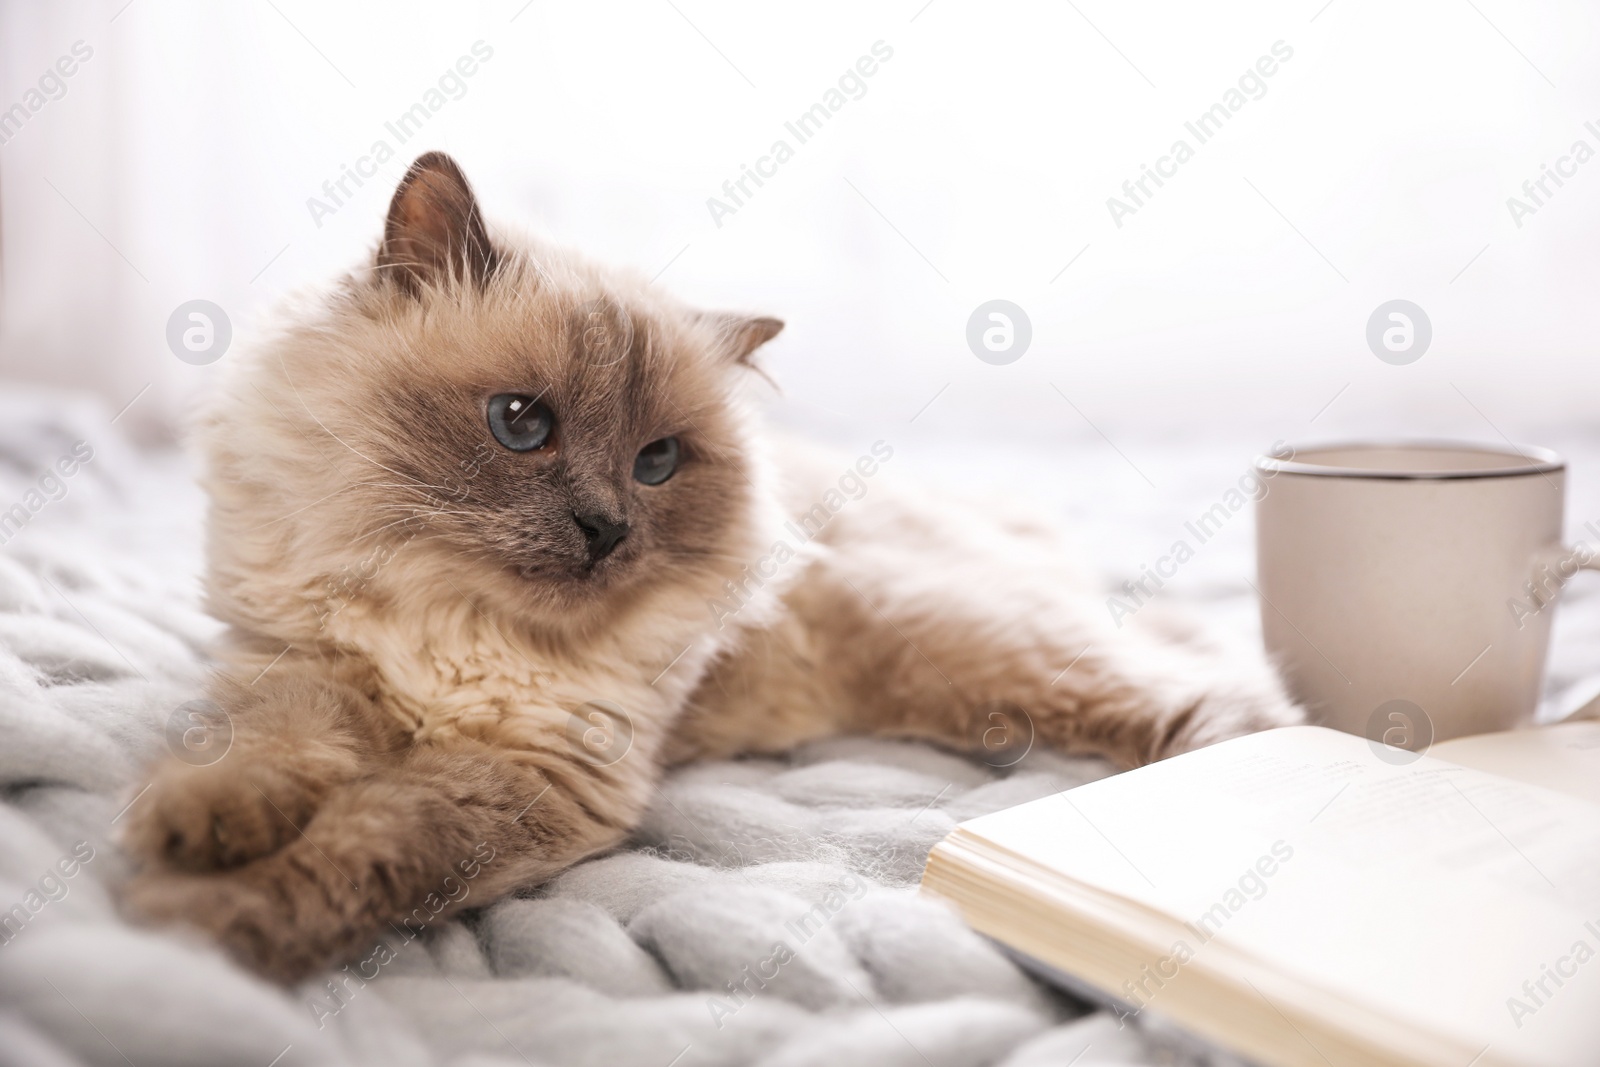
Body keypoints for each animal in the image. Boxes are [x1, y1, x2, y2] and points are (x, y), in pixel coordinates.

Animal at [121, 151, 1299, 985]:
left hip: (991, 666)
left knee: (1218, 693)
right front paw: (193, 834)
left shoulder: (528, 775)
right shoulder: (302, 672)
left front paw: (200, 925)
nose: (603, 528)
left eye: (657, 462)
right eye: (520, 423)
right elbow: (263, 758)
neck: (453, 623)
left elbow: (363, 842)